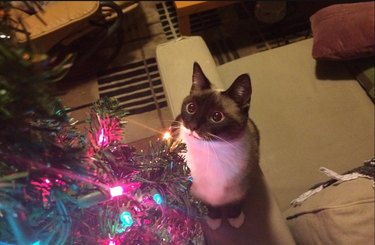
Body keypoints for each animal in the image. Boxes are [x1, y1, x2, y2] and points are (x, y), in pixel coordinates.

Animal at [173, 62, 258, 230]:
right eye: (191, 108)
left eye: (216, 117)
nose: (192, 127)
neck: (211, 152)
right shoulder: (198, 191)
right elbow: (209, 206)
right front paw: (214, 220)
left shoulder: (241, 188)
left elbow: (236, 203)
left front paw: (235, 219)